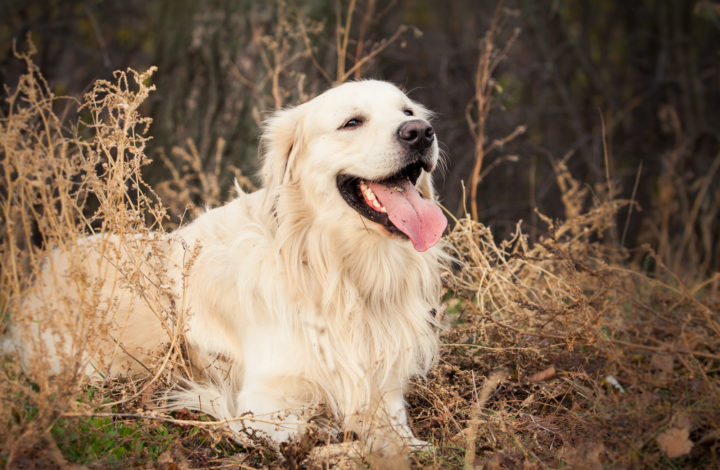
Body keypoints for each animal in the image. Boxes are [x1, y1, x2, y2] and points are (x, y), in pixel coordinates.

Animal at [14, 81, 448, 456]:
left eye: (407, 112)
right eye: (352, 122)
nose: (421, 132)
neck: (334, 268)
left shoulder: (384, 392)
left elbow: (397, 438)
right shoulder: (267, 406)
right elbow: (322, 436)